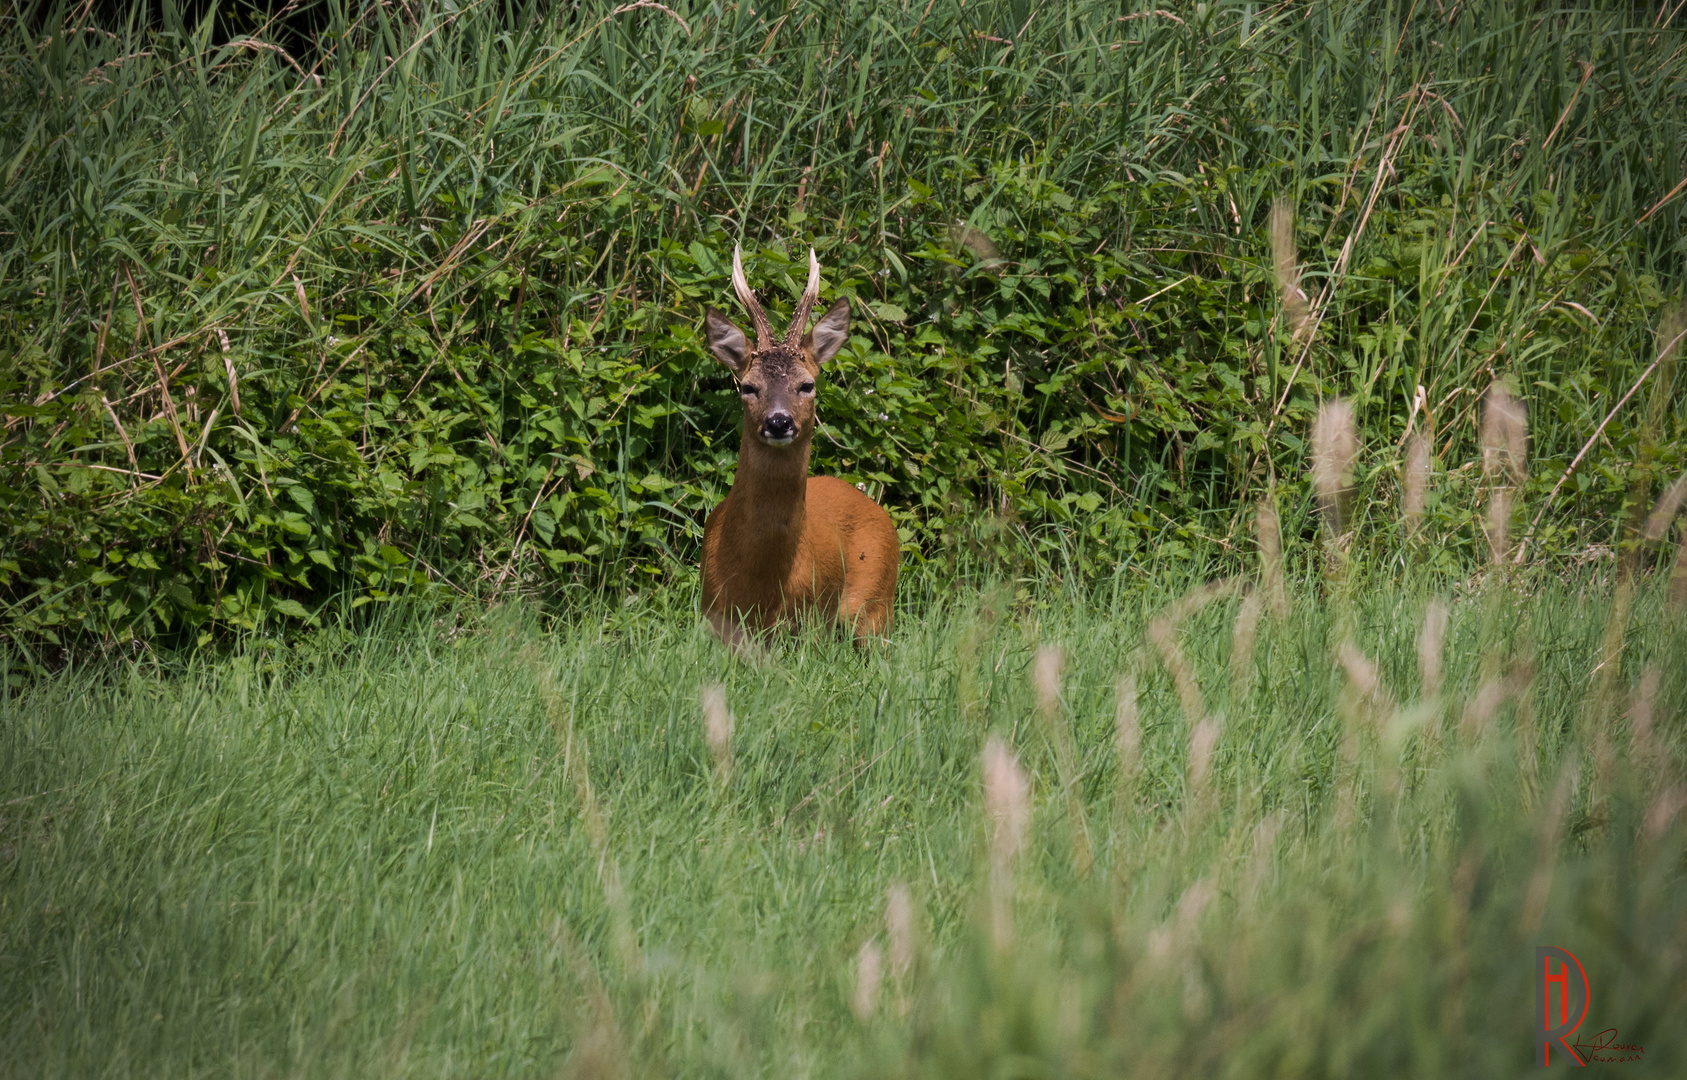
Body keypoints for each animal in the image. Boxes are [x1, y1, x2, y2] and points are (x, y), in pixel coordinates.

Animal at [701, 246, 904, 648]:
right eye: (748, 386)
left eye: (807, 384)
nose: (779, 422)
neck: (758, 583)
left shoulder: (802, 625)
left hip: (877, 608)